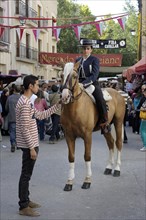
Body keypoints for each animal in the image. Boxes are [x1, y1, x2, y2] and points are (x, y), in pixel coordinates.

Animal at [60, 62, 125, 191]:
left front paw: (87, 180)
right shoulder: (69, 136)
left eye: (74, 76)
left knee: (118, 143)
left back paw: (117, 169)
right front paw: (69, 182)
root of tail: (118, 93)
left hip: (118, 123)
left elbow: (87, 156)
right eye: (62, 75)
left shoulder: (87, 136)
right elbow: (71, 157)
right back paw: (109, 167)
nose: (65, 96)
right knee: (111, 143)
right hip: (106, 128)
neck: (75, 108)